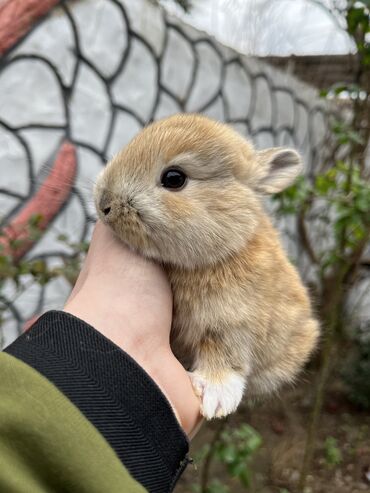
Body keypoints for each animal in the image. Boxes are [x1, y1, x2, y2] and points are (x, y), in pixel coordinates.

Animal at [94, 113, 320, 418]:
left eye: (174, 178)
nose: (103, 204)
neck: (227, 247)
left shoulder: (234, 324)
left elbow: (226, 356)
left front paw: (217, 395)